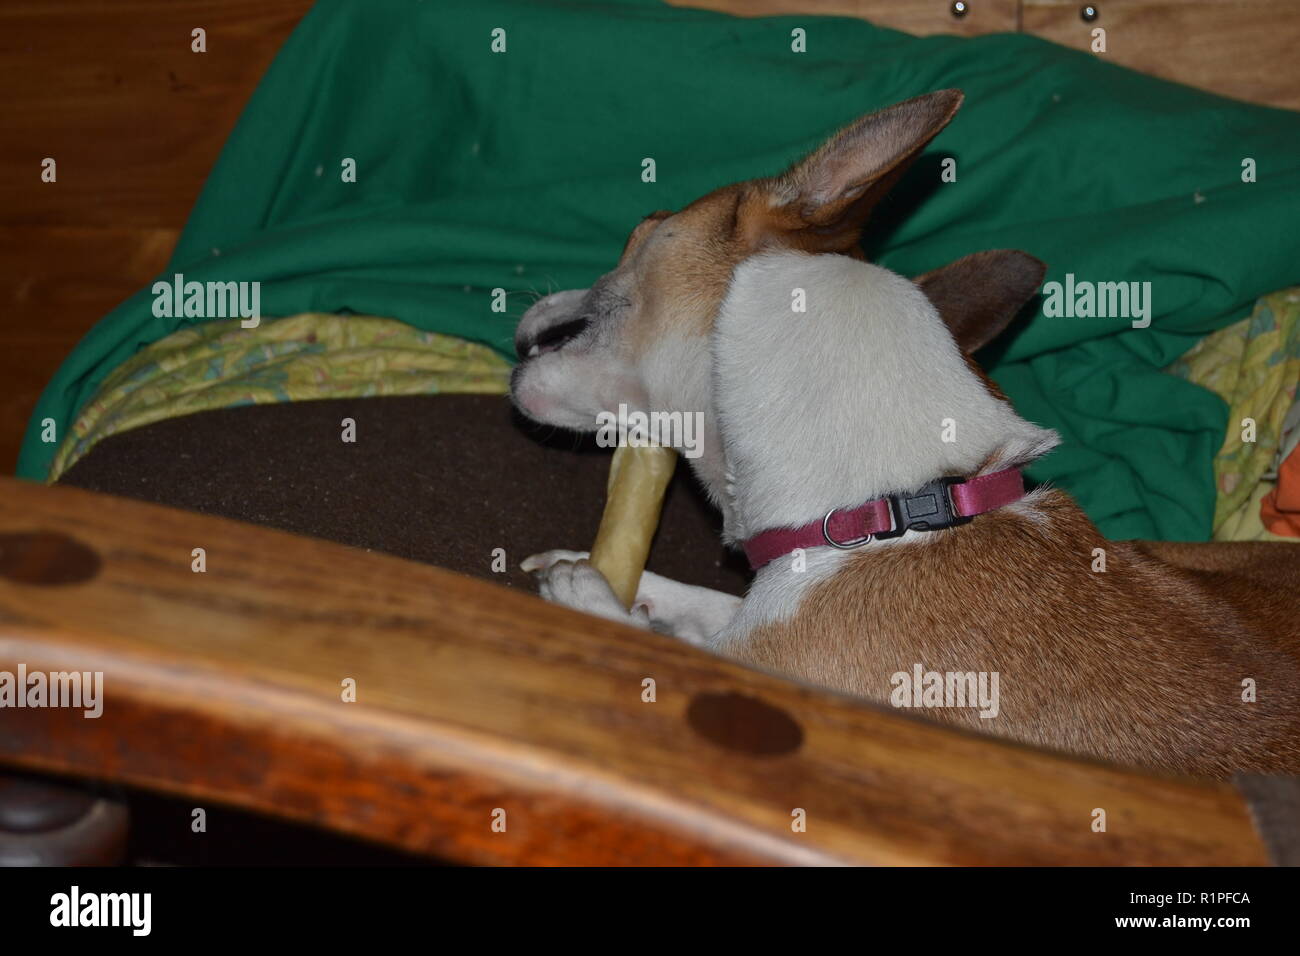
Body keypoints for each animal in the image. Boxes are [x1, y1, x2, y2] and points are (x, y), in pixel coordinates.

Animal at [506, 89, 1300, 780]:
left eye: (643, 224)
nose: (520, 324)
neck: (901, 506)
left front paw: (590, 597)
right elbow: (711, 609)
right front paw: (603, 577)